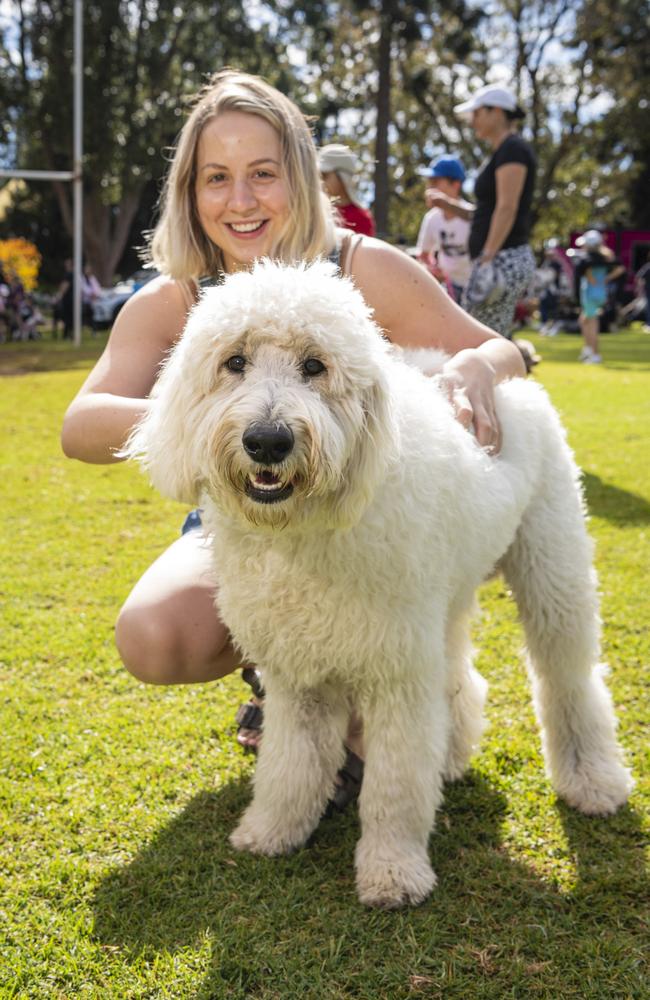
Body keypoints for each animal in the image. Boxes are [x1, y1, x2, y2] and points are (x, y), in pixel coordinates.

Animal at [124, 258, 632, 908]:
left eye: (315, 366)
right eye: (234, 362)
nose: (267, 440)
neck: (308, 526)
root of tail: (507, 374)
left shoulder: (397, 676)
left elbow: (394, 785)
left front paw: (393, 872)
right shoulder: (299, 673)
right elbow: (290, 763)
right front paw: (272, 830)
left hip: (552, 572)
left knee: (568, 681)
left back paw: (593, 781)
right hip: (445, 599)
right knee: (460, 675)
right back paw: (453, 753)